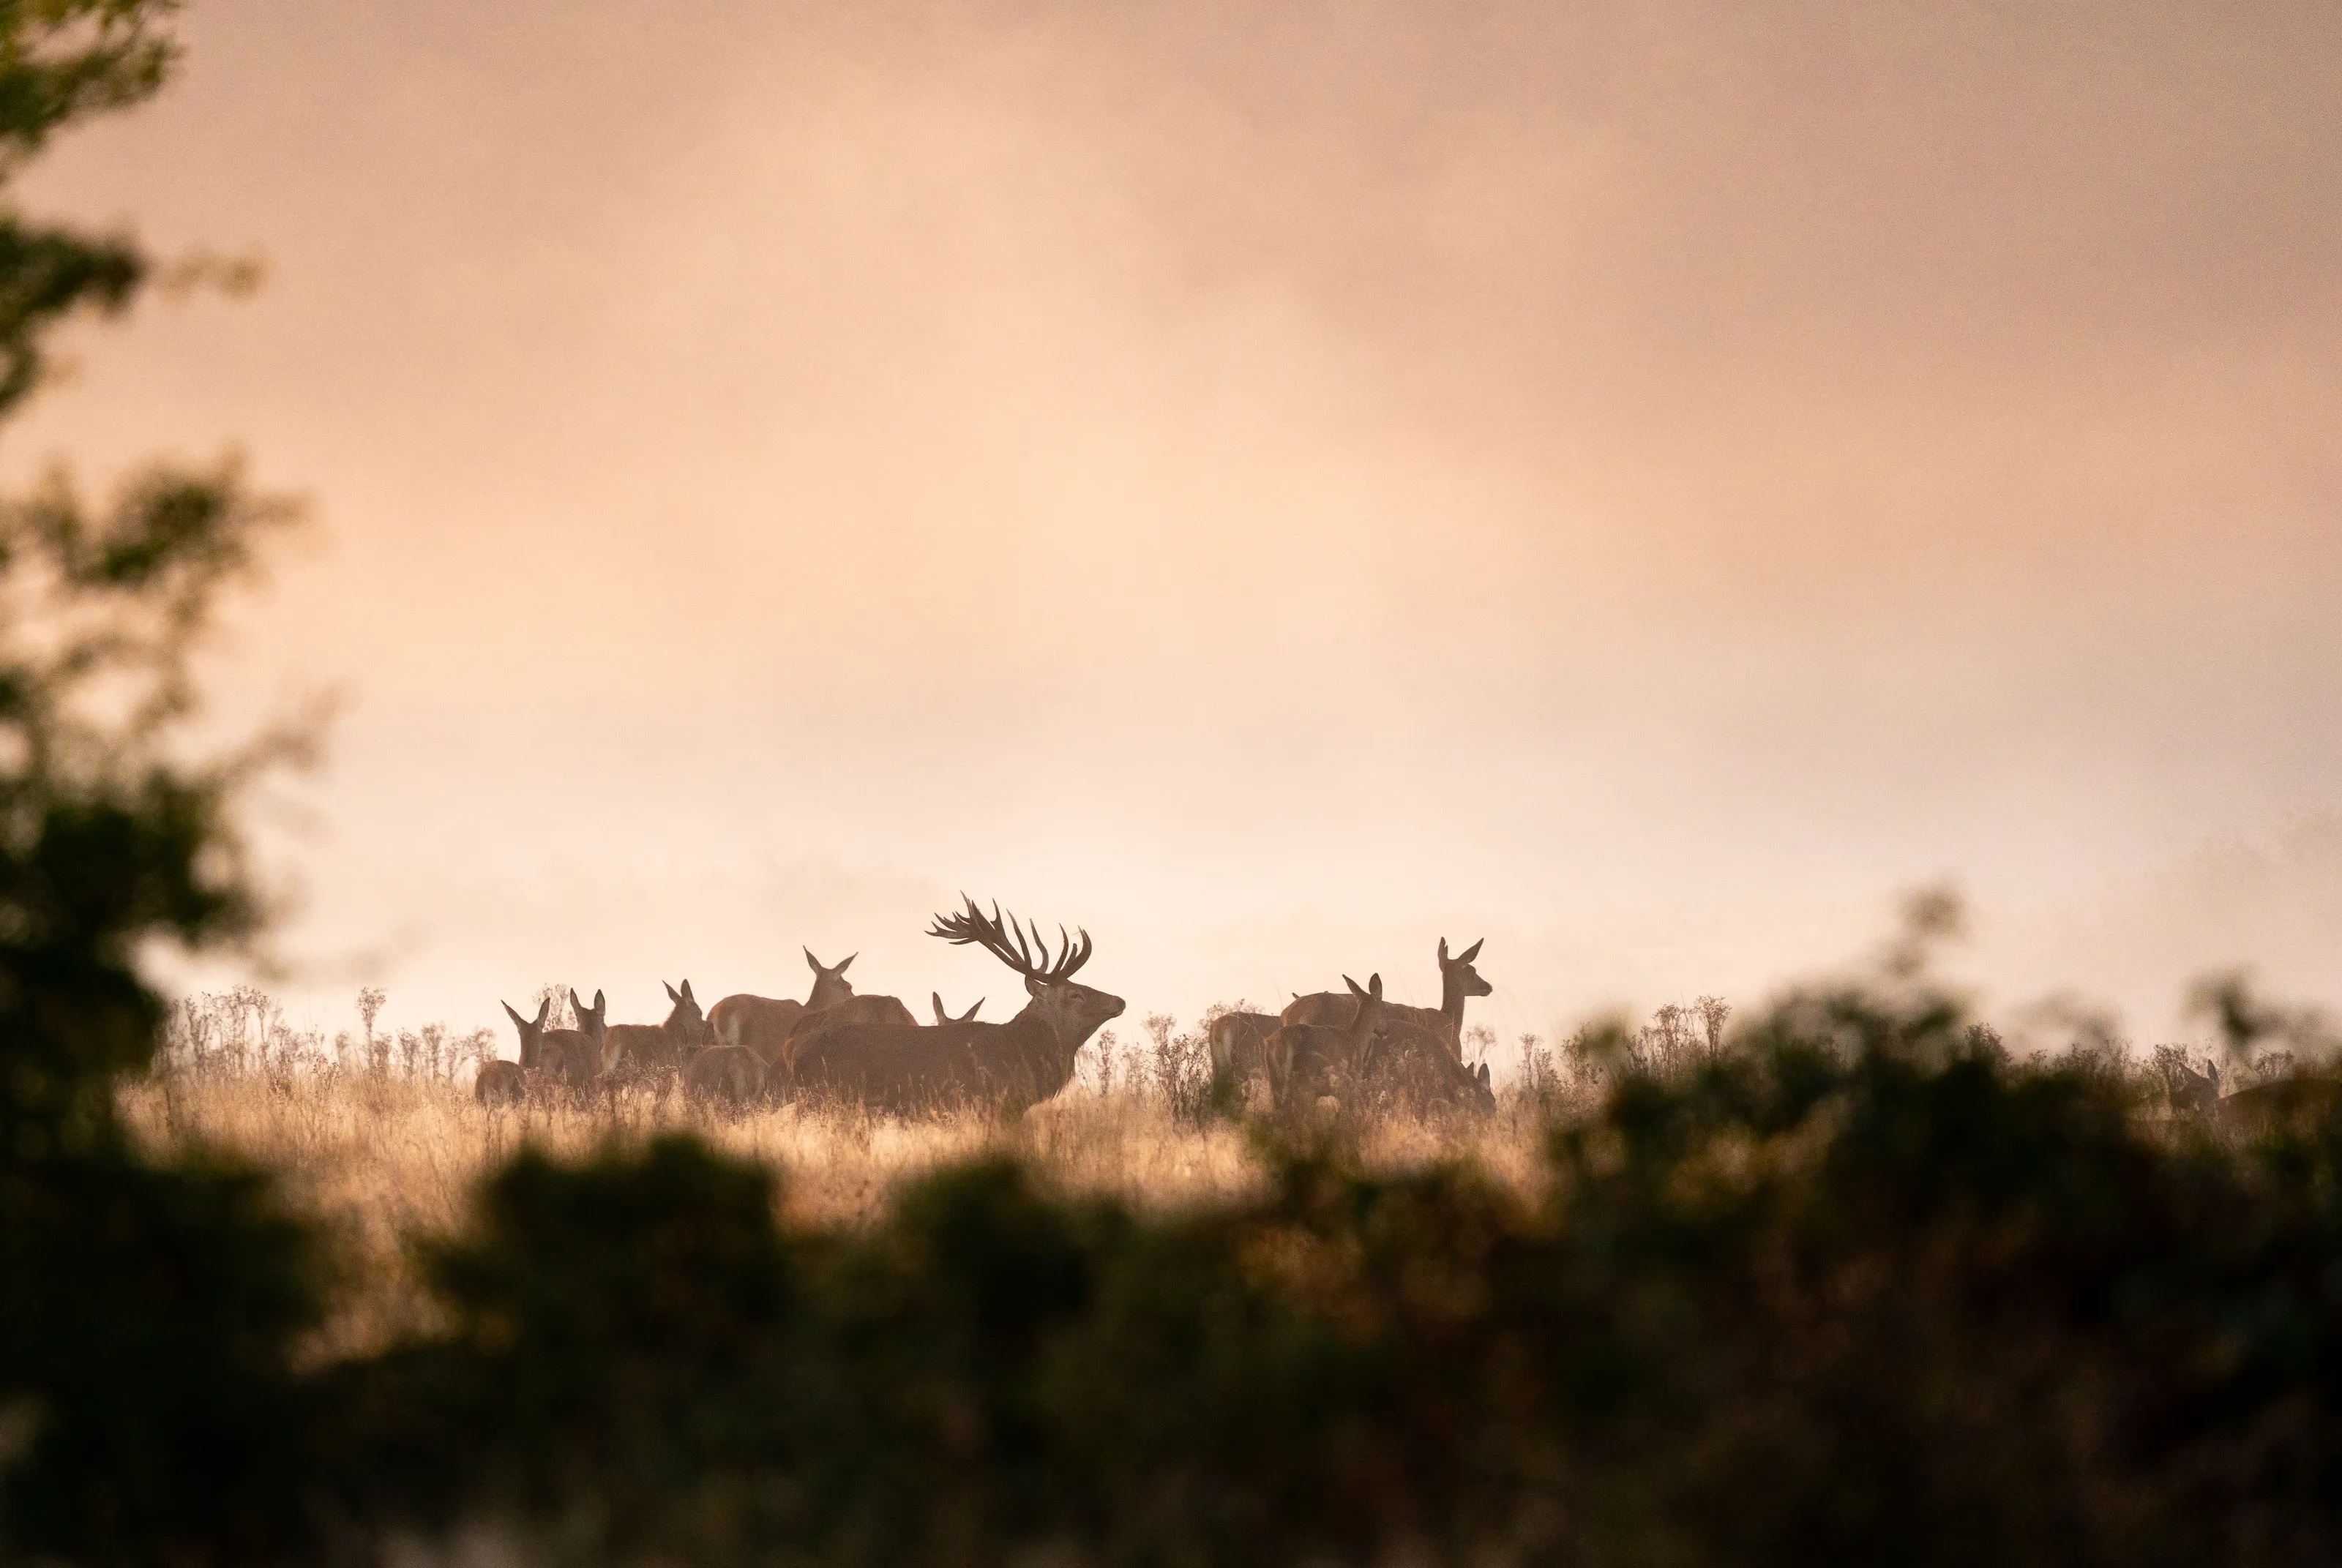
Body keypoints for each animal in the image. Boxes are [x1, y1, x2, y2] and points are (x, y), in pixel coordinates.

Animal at [787, 896, 1123, 1113]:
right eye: (1075, 993)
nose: (1119, 1000)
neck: (1022, 1051)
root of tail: (797, 1057)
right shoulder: (987, 1104)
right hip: (829, 1100)